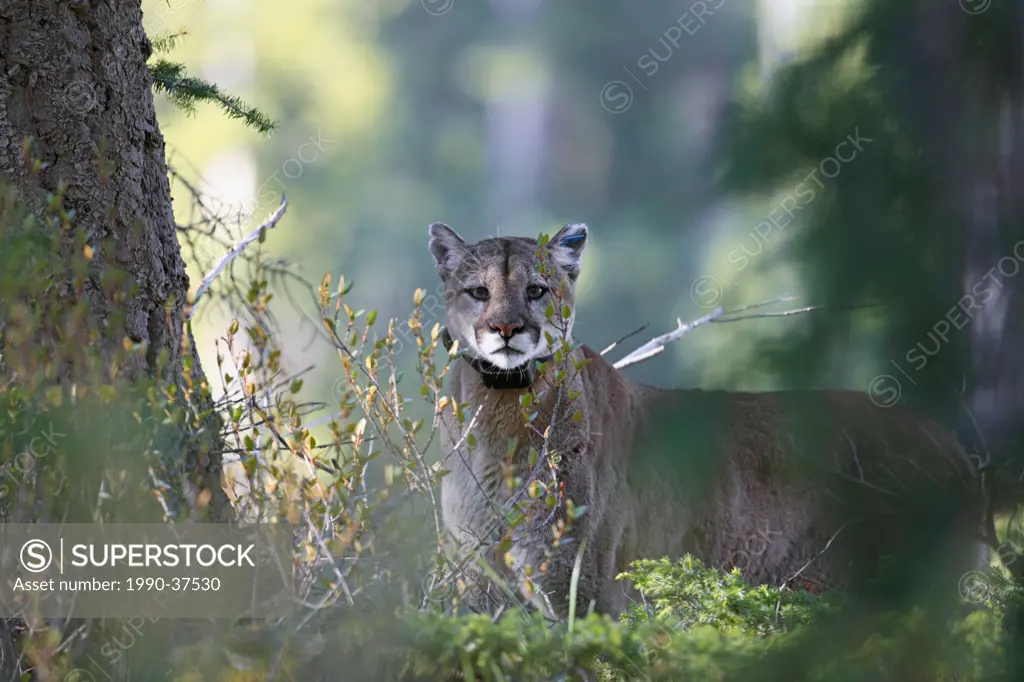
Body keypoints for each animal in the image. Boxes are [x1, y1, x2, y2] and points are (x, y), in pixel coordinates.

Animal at [430, 222, 983, 614]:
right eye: (478, 292)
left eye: (537, 291)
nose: (506, 329)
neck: (502, 409)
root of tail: (950, 443)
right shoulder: (476, 578)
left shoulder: (576, 579)